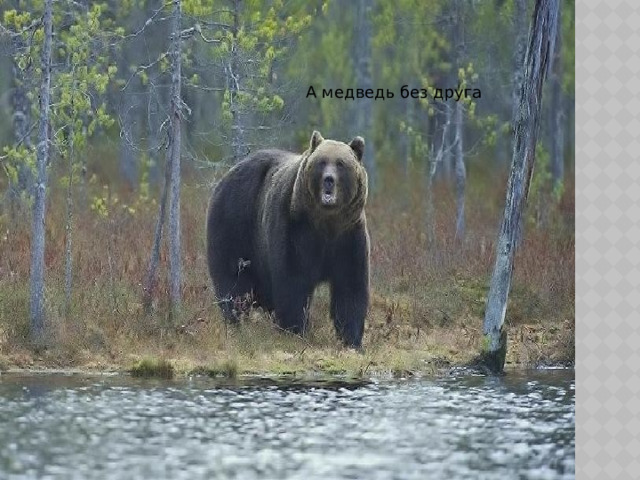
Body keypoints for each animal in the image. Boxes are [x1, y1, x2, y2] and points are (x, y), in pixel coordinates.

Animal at [206, 130, 370, 348]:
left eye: (341, 163)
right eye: (321, 162)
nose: (328, 179)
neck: (326, 224)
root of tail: (227, 175)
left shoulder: (348, 235)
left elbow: (351, 286)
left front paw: (352, 340)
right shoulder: (296, 229)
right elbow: (293, 281)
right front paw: (295, 330)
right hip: (233, 223)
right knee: (233, 283)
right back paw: (237, 323)